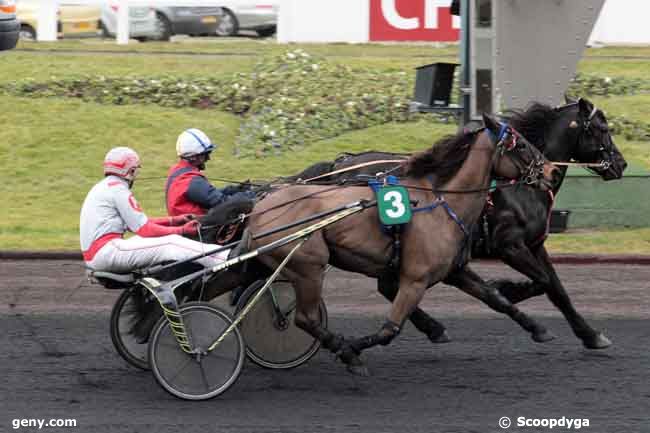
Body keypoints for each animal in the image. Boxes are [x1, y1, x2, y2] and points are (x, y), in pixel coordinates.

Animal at [246, 115, 556, 374]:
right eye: (522, 145)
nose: (551, 171)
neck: (442, 202)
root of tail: (259, 207)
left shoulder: (454, 270)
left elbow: (497, 299)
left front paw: (537, 327)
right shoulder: (415, 279)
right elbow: (389, 330)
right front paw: (352, 349)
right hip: (309, 266)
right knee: (306, 318)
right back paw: (345, 351)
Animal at [282, 98, 624, 348]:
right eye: (602, 128)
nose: (621, 164)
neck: (519, 186)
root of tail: (339, 164)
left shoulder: (535, 245)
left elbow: (556, 289)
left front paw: (591, 335)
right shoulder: (509, 245)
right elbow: (539, 282)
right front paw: (509, 289)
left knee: (387, 286)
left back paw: (432, 327)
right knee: (389, 286)